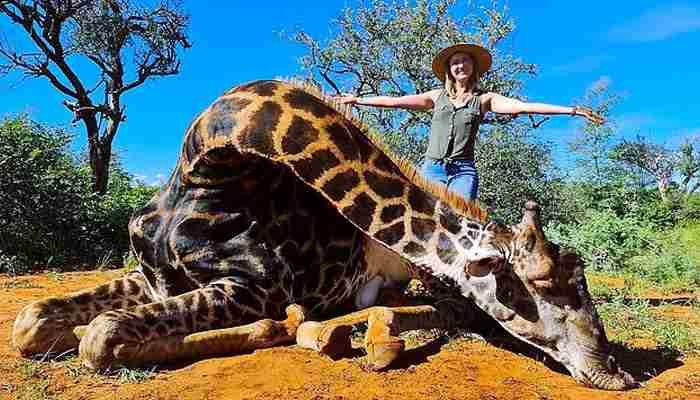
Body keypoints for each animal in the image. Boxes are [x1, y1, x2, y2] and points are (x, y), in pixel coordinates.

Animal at [15, 79, 640, 390]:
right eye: (545, 288)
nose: (616, 374)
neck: (207, 169)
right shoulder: (152, 278)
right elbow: (33, 322)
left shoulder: (255, 289)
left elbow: (100, 336)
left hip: (418, 285)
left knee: (434, 310)